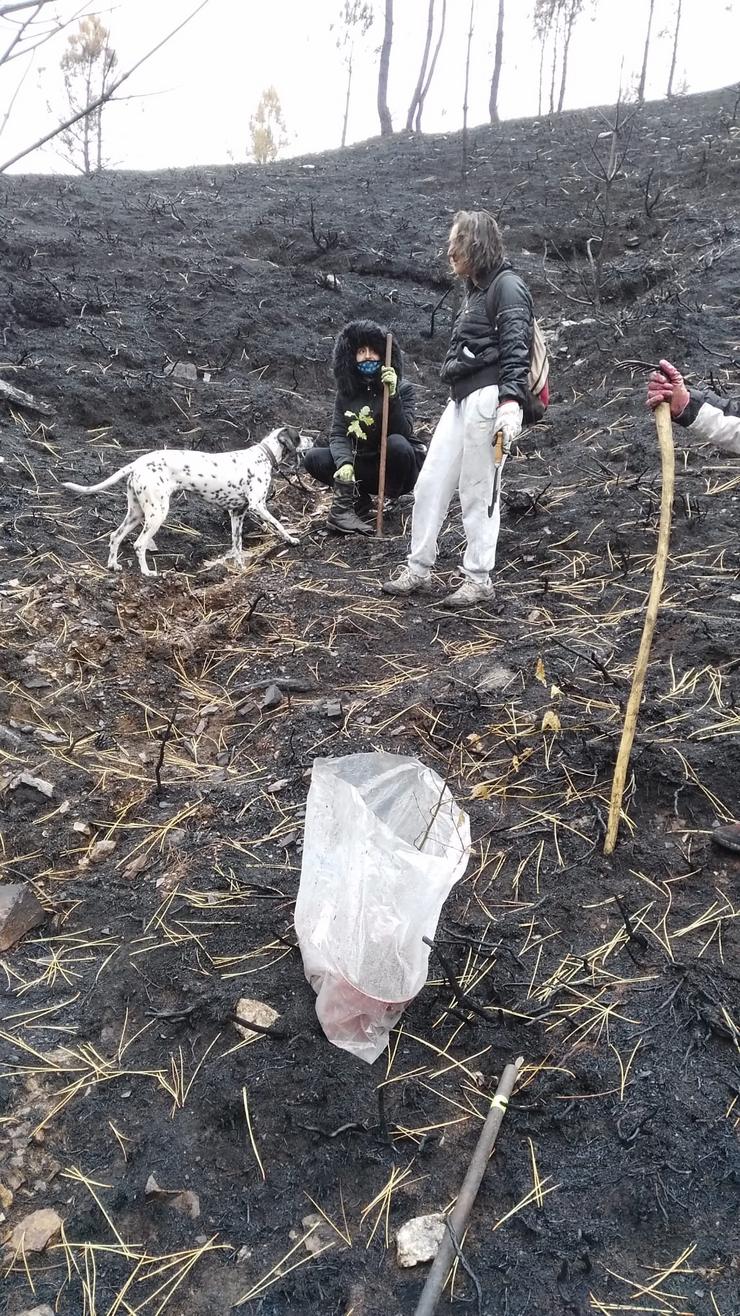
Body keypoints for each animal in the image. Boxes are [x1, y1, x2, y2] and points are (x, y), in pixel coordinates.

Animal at [59, 423, 308, 573]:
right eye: (299, 436)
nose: (312, 438)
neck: (263, 456)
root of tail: (138, 463)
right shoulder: (258, 506)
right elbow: (278, 524)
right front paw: (291, 539)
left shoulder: (237, 513)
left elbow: (237, 545)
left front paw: (240, 568)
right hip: (157, 514)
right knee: (139, 544)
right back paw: (147, 573)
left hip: (136, 513)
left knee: (115, 536)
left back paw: (113, 565)